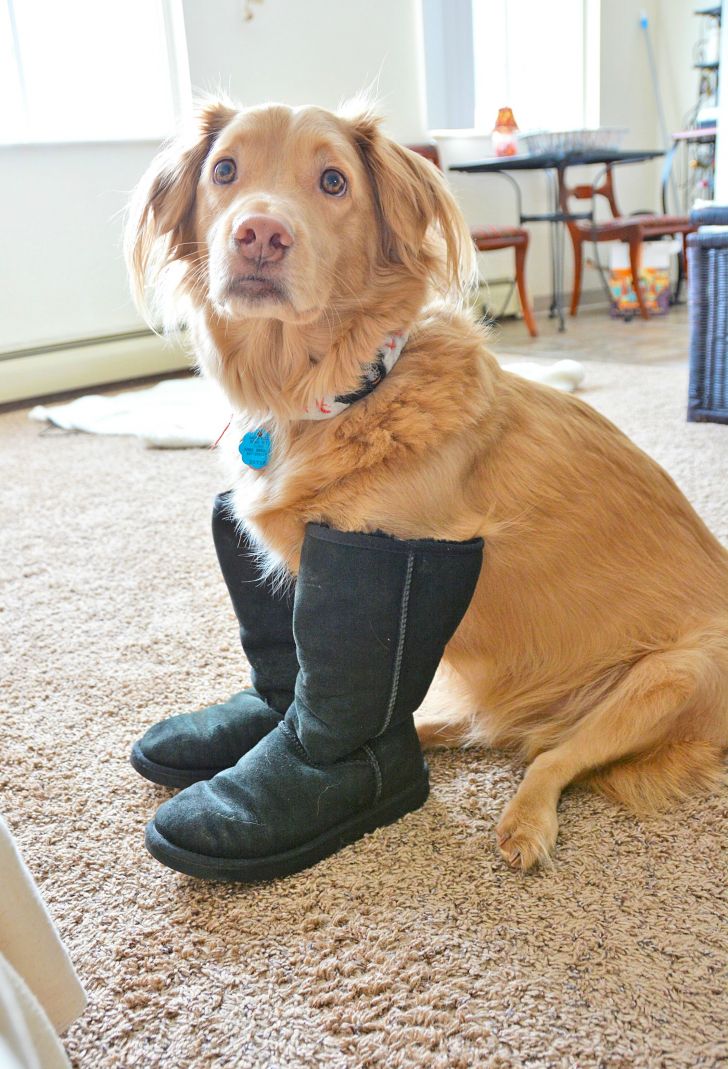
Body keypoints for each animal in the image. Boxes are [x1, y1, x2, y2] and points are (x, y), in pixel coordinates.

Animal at [125, 98, 726, 868]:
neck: (341, 392)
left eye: (333, 181)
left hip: (673, 676)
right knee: (466, 724)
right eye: (225, 171)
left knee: (550, 755)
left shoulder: (382, 539)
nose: (259, 234)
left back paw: (525, 820)